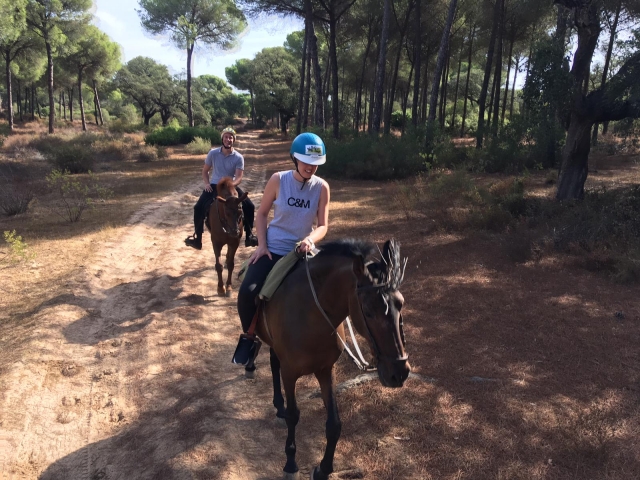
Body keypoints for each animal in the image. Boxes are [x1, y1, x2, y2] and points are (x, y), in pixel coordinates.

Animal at [252, 238, 411, 480]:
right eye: (368, 310)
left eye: (400, 304)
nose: (399, 372)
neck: (310, 314)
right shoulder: (289, 374)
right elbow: (293, 415)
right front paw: (290, 462)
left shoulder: (326, 370)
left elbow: (334, 424)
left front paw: (324, 469)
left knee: (272, 360)